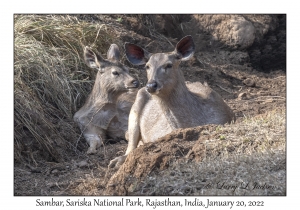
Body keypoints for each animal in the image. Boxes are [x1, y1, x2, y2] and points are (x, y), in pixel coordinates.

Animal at [109, 35, 236, 167]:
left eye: (169, 65)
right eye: (147, 66)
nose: (151, 85)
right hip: (134, 109)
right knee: (130, 144)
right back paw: (116, 161)